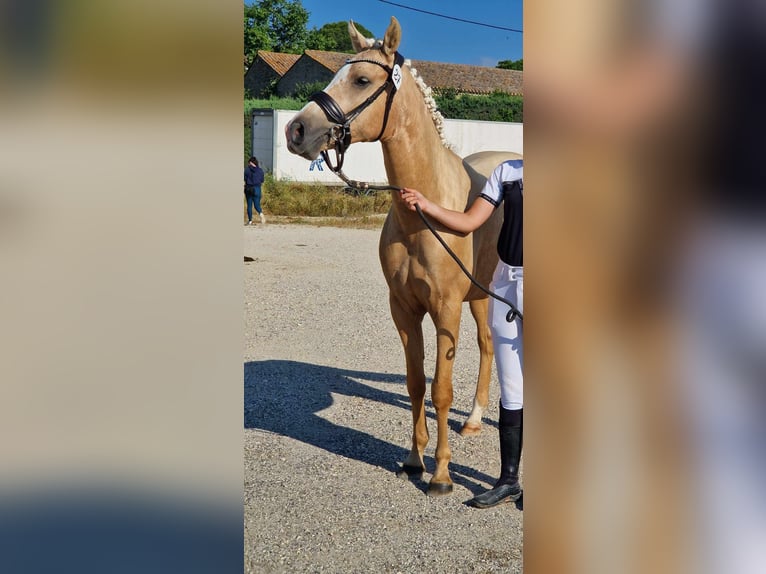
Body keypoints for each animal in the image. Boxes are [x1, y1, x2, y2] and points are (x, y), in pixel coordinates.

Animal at [284, 16, 524, 496]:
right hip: (482, 294)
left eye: (361, 80)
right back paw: (473, 421)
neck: (423, 211)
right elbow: (416, 384)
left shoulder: (446, 308)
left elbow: (440, 388)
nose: (296, 130)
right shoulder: (404, 307)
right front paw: (415, 460)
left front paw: (442, 475)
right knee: (488, 347)